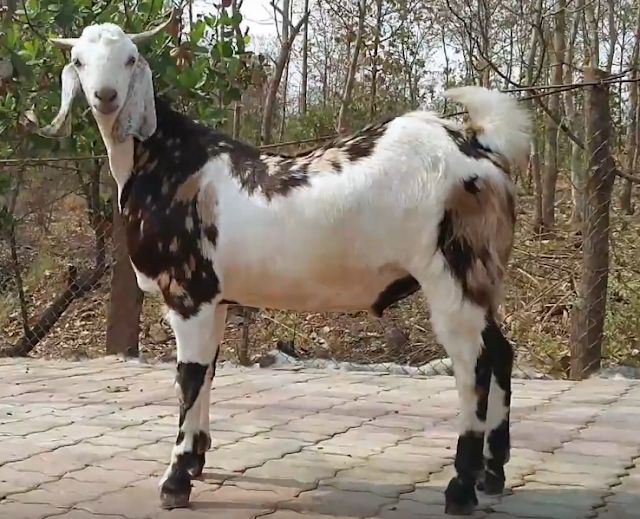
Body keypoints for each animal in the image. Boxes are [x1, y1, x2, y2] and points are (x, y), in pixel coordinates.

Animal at [38, 12, 531, 516]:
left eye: (131, 58)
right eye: (79, 61)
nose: (106, 96)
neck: (169, 163)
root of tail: (479, 147)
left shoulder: (188, 293)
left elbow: (189, 376)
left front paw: (175, 480)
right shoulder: (215, 299)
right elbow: (209, 371)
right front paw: (196, 460)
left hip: (450, 276)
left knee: (472, 365)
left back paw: (461, 487)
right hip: (480, 277)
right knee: (500, 352)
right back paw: (493, 474)